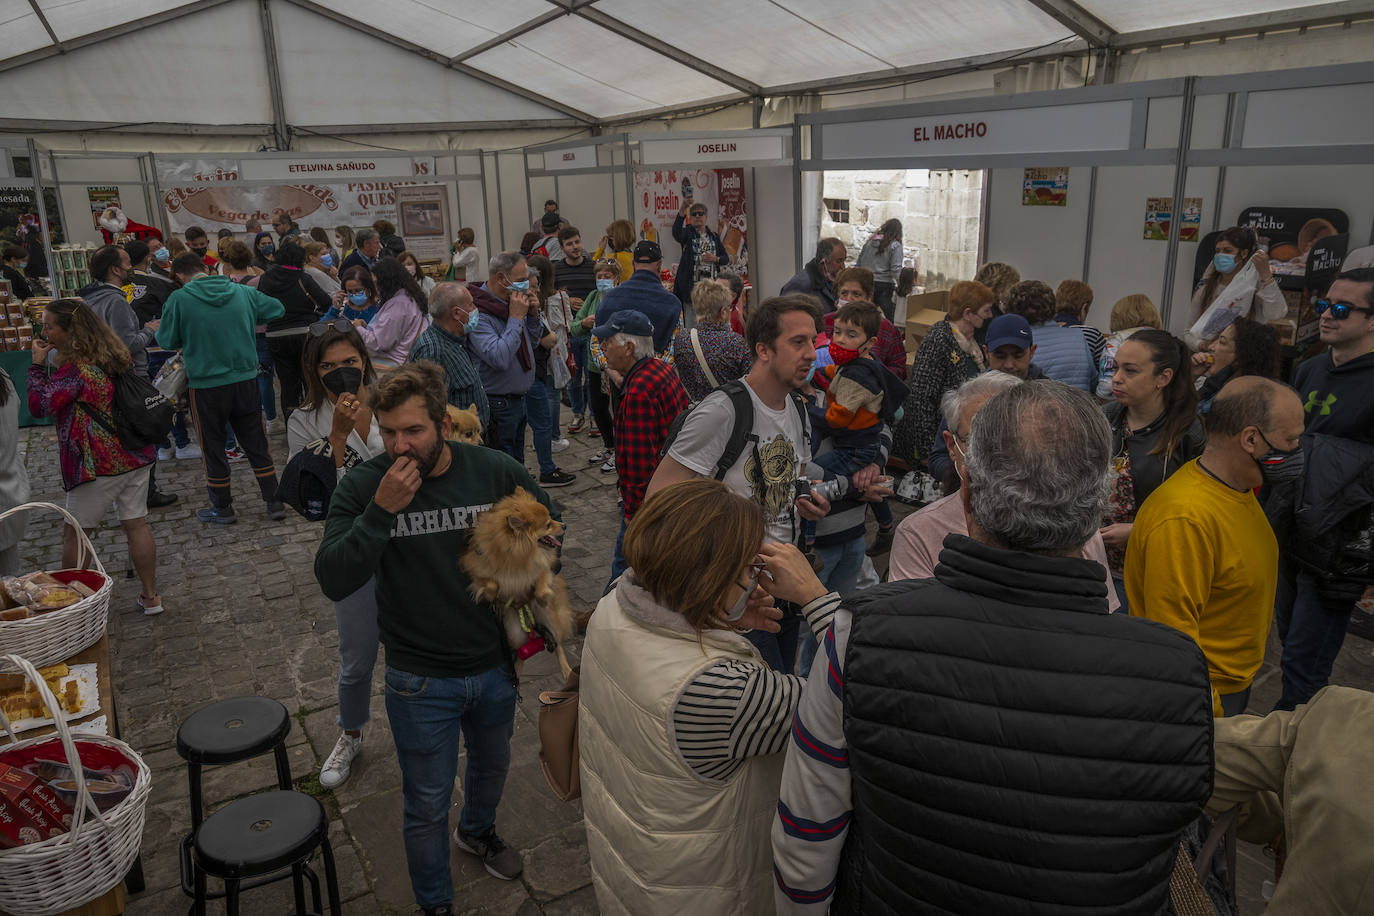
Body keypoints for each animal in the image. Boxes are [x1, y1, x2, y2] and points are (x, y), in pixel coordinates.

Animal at [458, 486, 571, 681]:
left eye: (551, 518)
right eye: (548, 524)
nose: (563, 525)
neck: (518, 554)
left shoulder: (542, 568)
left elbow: (541, 583)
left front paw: (542, 598)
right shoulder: (476, 567)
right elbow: (492, 584)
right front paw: (490, 596)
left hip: (550, 619)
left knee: (558, 645)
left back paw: (566, 669)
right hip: (515, 633)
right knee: (519, 653)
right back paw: (516, 671)